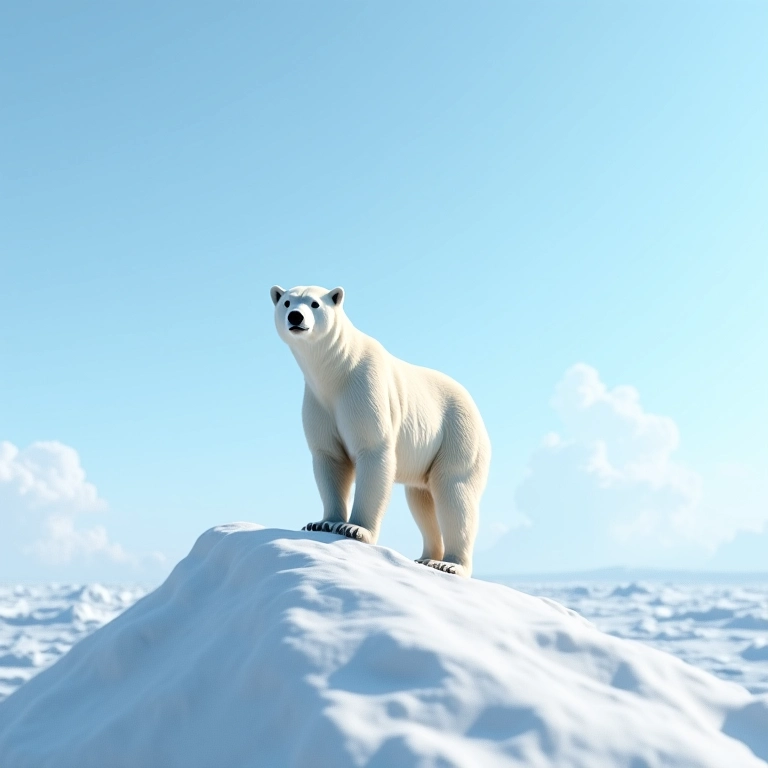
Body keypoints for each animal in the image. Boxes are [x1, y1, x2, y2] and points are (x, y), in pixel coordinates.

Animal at [271, 284, 491, 577]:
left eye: (315, 304)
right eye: (286, 302)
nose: (295, 316)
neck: (335, 372)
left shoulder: (364, 389)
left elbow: (373, 450)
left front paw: (354, 528)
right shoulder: (319, 402)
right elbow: (329, 458)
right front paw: (323, 523)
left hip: (457, 433)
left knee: (453, 493)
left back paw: (449, 564)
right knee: (421, 500)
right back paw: (426, 557)